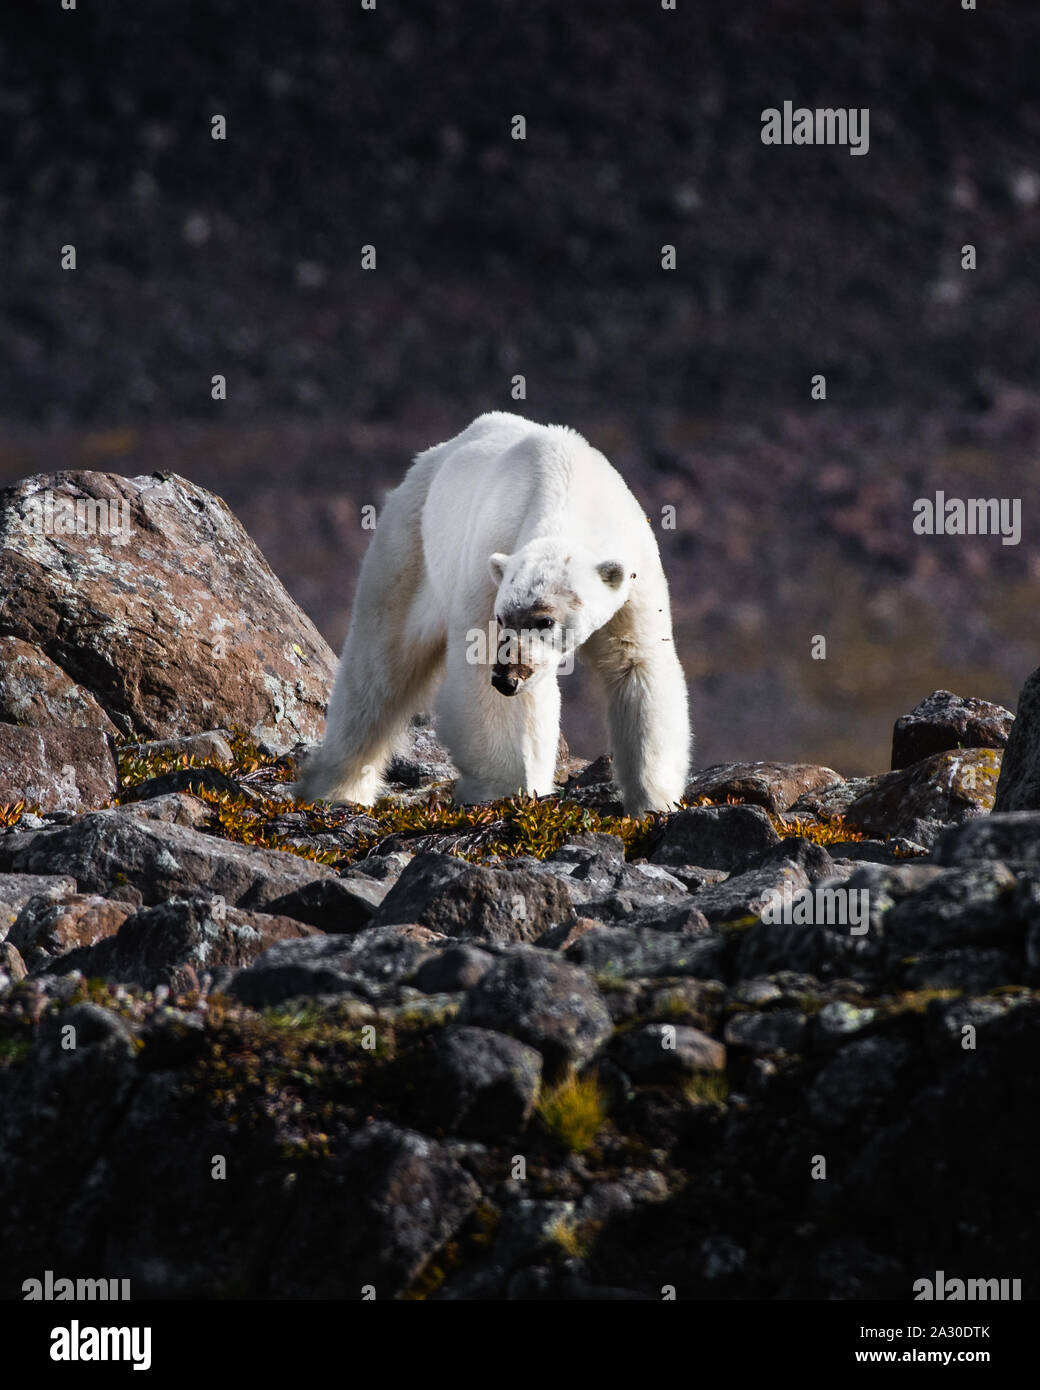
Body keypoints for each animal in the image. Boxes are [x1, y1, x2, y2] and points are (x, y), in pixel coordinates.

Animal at [294, 417, 689, 817]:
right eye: (502, 618)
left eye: (546, 620)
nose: (507, 678)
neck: (569, 487)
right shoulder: (492, 554)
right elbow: (478, 665)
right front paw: (500, 791)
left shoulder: (634, 576)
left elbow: (637, 664)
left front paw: (654, 802)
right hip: (410, 545)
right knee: (379, 664)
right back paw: (338, 788)